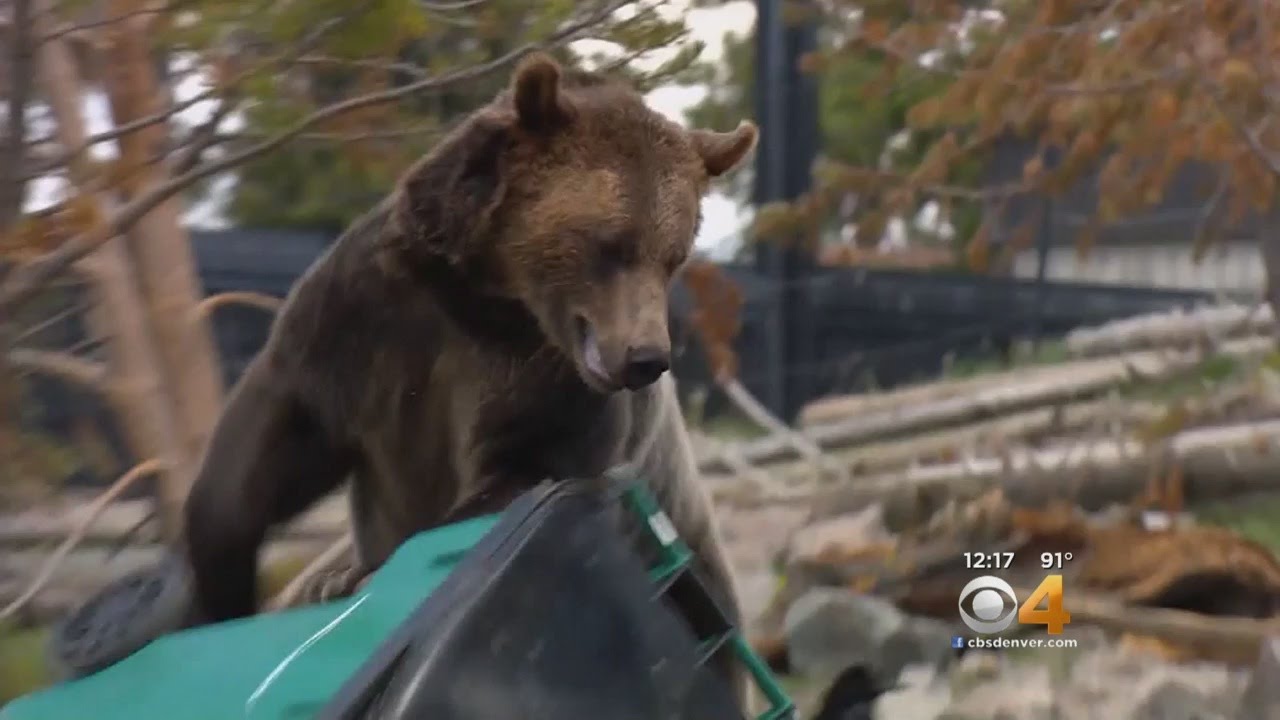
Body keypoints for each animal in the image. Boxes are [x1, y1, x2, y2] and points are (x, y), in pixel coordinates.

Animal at [180, 52, 759, 708]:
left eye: (675, 255)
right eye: (611, 244)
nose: (645, 357)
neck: (489, 297)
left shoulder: (542, 382)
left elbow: (519, 472)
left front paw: (365, 575)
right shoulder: (365, 319)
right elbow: (271, 450)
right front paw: (220, 580)